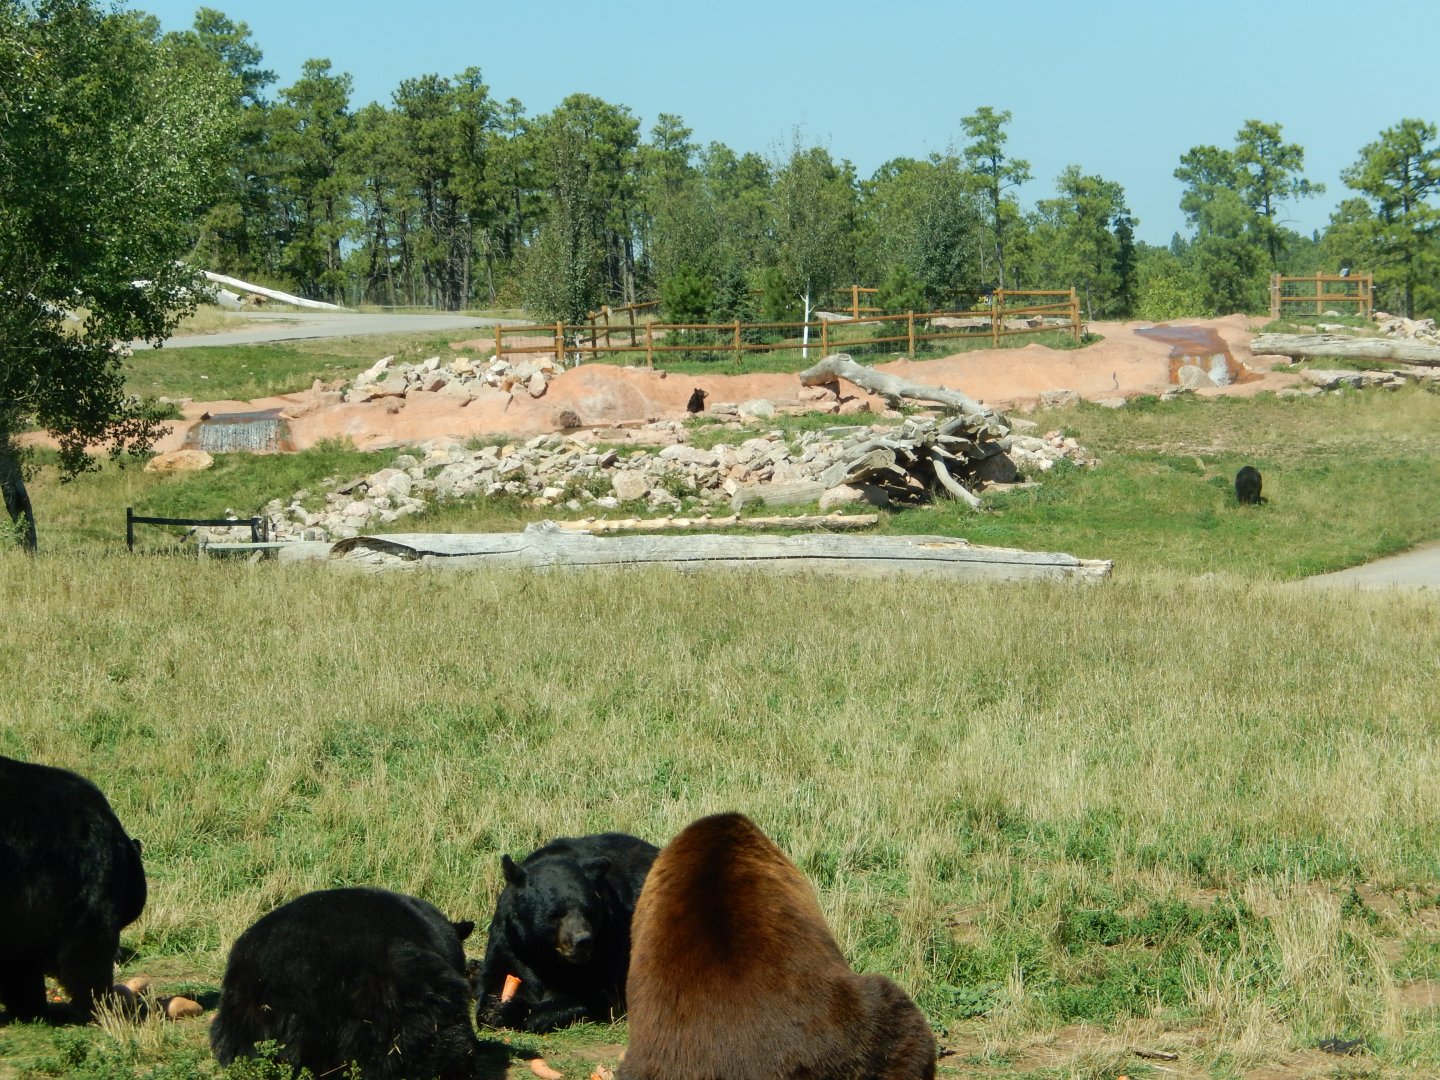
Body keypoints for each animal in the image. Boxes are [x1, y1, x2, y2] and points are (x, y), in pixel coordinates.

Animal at [476, 832, 659, 1033]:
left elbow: (595, 993)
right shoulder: (510, 938)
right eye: (554, 914)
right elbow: (498, 976)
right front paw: (494, 1010)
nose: (582, 940)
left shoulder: (610, 937)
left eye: (589, 910)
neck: (548, 957)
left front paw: (520, 1011)